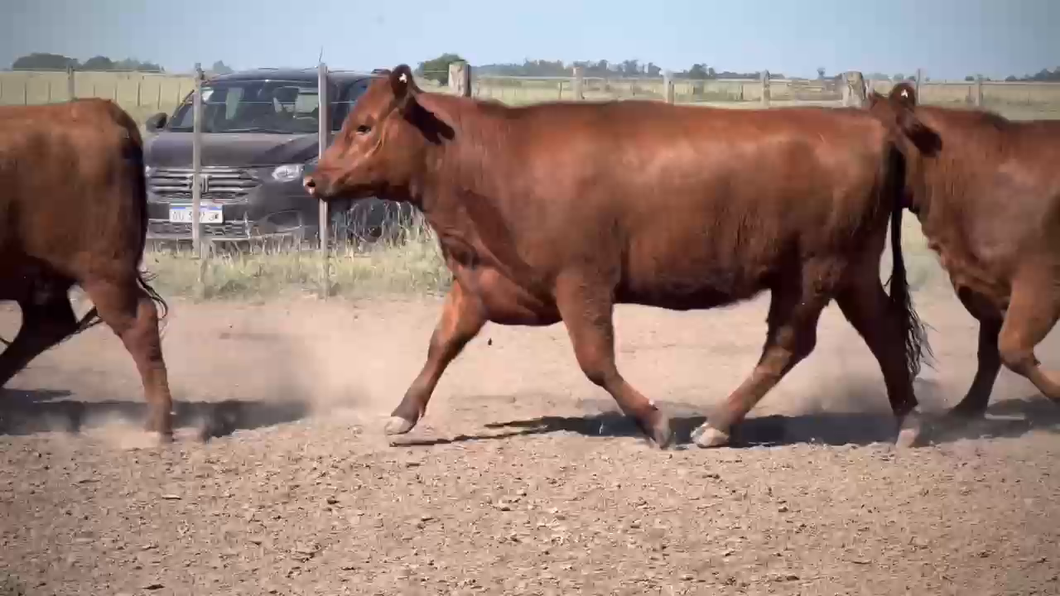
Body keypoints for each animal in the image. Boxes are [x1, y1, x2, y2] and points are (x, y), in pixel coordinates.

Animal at [303, 66, 932, 445]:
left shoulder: (583, 279)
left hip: (813, 269)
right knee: (881, 328)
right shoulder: (481, 279)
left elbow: (594, 358)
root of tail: (871, 125)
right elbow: (442, 343)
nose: (314, 179)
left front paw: (656, 422)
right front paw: (402, 413)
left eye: (363, 126)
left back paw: (715, 425)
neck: (495, 160)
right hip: (850, 268)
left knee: (788, 344)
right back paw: (907, 422)